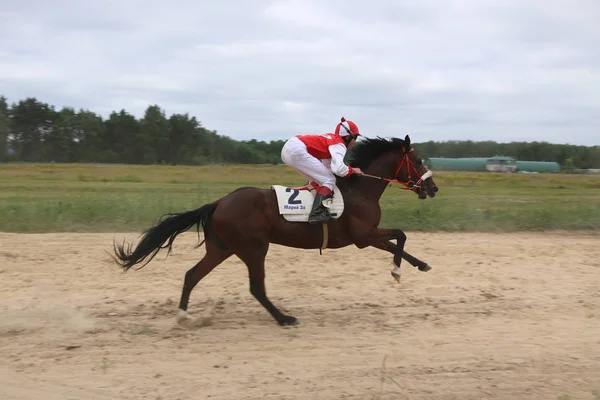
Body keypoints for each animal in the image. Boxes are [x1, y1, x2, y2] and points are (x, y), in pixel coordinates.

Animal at [112, 134, 438, 324]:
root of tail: (219, 202)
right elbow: (400, 235)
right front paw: (399, 271)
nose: (433, 188)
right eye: (418, 160)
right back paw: (283, 318)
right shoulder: (363, 235)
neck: (360, 190)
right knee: (256, 286)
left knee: (192, 275)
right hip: (254, 248)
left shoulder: (367, 235)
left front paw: (417, 265)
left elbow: (398, 241)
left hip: (222, 248)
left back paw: (183, 315)